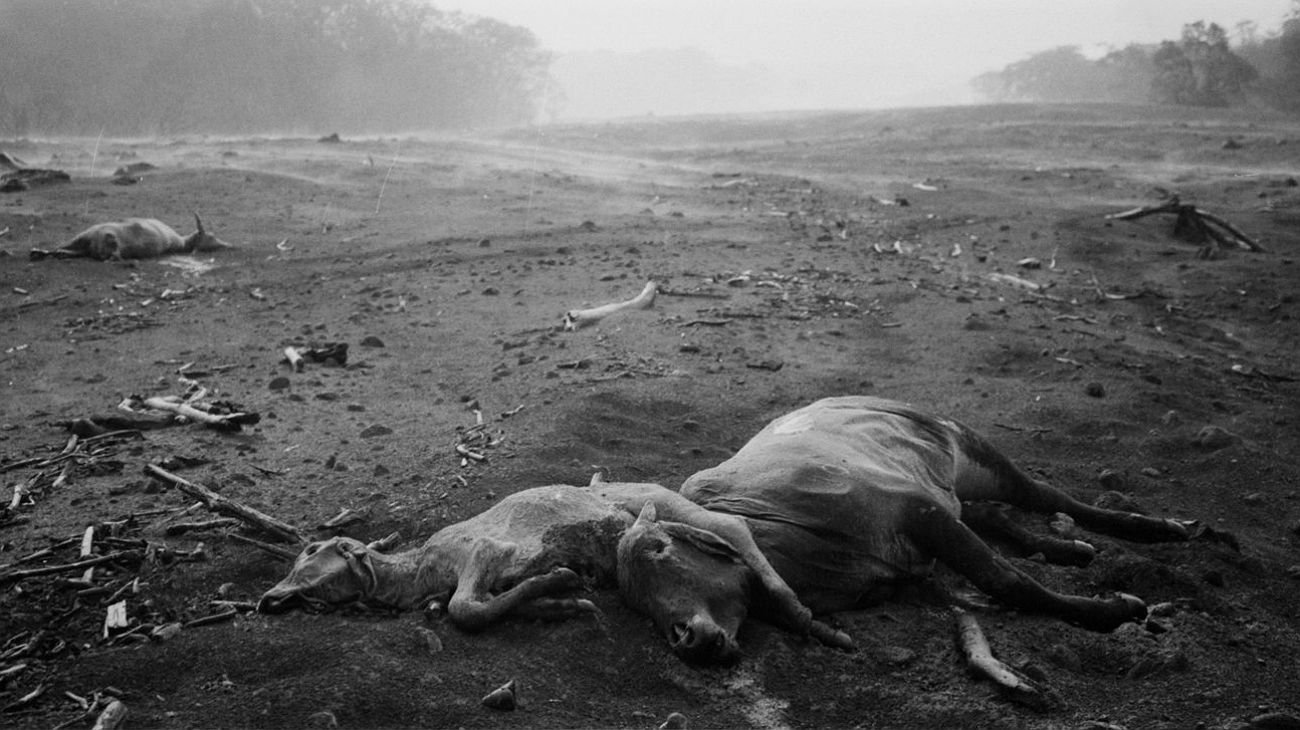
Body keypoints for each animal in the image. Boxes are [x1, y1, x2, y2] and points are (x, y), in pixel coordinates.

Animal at [618, 394, 1206, 662]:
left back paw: (1156, 528)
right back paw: (1069, 550)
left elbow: (1005, 580)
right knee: (993, 515)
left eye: (661, 550)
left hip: (974, 452)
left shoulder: (917, 511)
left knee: (1045, 495)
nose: (685, 637)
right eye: (636, 599)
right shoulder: (922, 539)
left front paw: (1112, 610)